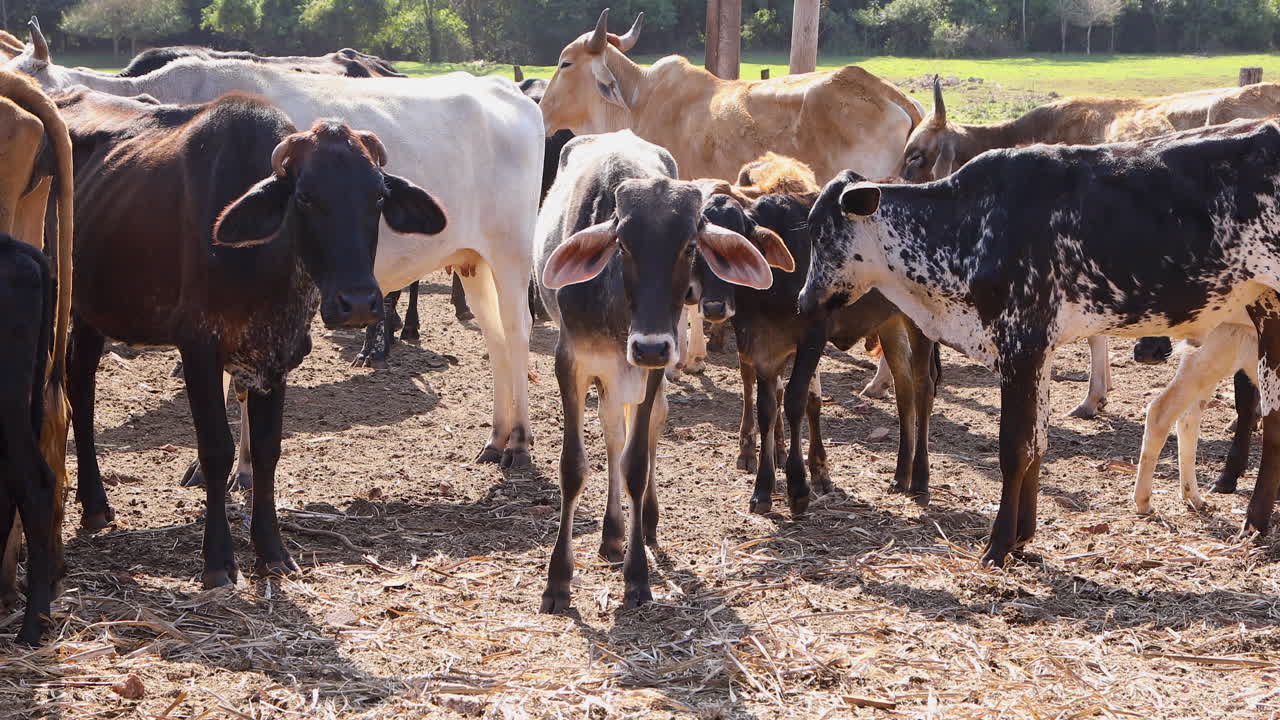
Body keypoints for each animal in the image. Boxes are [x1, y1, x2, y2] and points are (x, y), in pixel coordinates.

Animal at [9, 18, 544, 469]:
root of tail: (503, 90)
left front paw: (239, 470)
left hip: (511, 253)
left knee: (517, 332)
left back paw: (519, 443)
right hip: (472, 259)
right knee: (495, 336)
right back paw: (497, 437)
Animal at [58, 87, 446, 586]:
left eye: (378, 197)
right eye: (304, 197)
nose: (358, 303)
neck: (264, 266)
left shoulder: (276, 354)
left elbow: (265, 450)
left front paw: (272, 550)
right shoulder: (198, 348)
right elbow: (217, 449)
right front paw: (219, 559)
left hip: (94, 312)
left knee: (80, 380)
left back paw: (93, 503)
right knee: (80, 390)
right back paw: (94, 502)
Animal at [536, 131, 780, 612]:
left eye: (690, 246)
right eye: (623, 245)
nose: (649, 345)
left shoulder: (651, 368)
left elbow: (635, 463)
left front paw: (637, 576)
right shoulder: (570, 362)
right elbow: (574, 466)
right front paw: (558, 579)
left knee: (644, 434)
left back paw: (641, 523)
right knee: (613, 433)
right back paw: (612, 533)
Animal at [798, 118, 1280, 567]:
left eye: (821, 233)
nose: (804, 301)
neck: (970, 224)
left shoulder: (1020, 345)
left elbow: (1015, 448)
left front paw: (997, 546)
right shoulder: (1040, 351)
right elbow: (1038, 444)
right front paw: (1023, 537)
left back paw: (1254, 524)